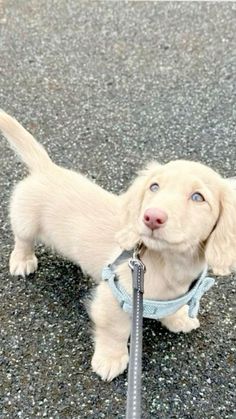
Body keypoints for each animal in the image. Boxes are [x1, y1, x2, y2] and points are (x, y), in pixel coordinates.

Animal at [0, 113, 236, 382]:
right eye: (154, 187)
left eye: (198, 197)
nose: (151, 217)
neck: (169, 264)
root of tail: (47, 168)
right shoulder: (114, 297)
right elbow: (116, 331)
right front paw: (111, 359)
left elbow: (171, 309)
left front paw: (178, 319)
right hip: (25, 221)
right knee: (23, 240)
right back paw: (22, 260)